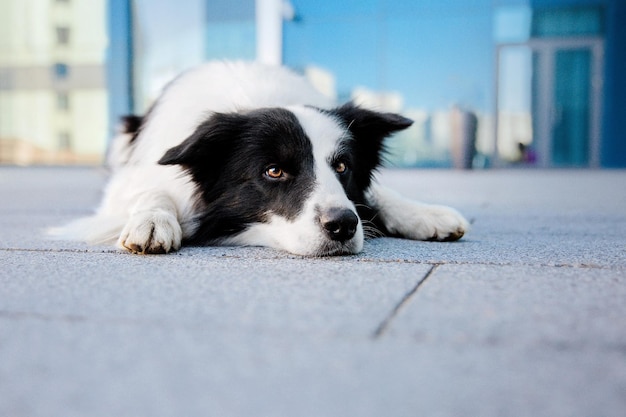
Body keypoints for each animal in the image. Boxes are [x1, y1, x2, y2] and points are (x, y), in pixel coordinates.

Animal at [54, 60, 468, 255]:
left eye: (342, 167)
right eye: (274, 171)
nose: (343, 226)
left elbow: (378, 194)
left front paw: (424, 214)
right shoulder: (129, 183)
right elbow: (151, 191)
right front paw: (154, 221)